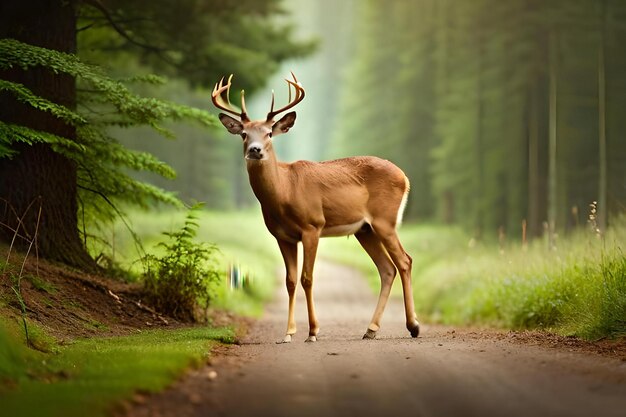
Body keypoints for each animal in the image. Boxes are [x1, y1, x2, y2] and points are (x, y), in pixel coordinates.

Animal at [211, 74, 420, 342]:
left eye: (269, 133)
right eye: (244, 134)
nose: (255, 150)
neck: (284, 191)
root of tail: (404, 177)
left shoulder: (312, 226)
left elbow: (307, 278)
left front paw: (312, 331)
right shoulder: (282, 236)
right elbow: (290, 281)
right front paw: (288, 333)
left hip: (385, 220)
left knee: (404, 261)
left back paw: (413, 326)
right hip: (365, 229)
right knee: (387, 269)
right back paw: (371, 329)